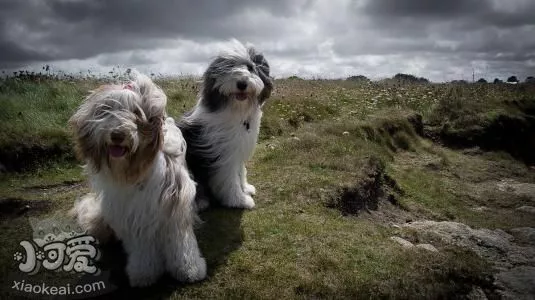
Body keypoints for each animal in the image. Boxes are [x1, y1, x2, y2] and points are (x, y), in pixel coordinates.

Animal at [68, 71, 206, 288]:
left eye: (136, 113)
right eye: (107, 111)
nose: (117, 135)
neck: (137, 171)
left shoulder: (174, 207)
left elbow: (181, 244)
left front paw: (189, 270)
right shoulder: (134, 217)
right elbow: (143, 251)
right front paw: (144, 274)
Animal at [178, 39, 274, 210]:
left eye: (250, 67)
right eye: (229, 68)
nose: (242, 83)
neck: (237, 110)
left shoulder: (239, 147)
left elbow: (241, 172)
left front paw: (246, 188)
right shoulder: (224, 156)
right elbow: (230, 180)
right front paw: (240, 200)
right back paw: (201, 202)